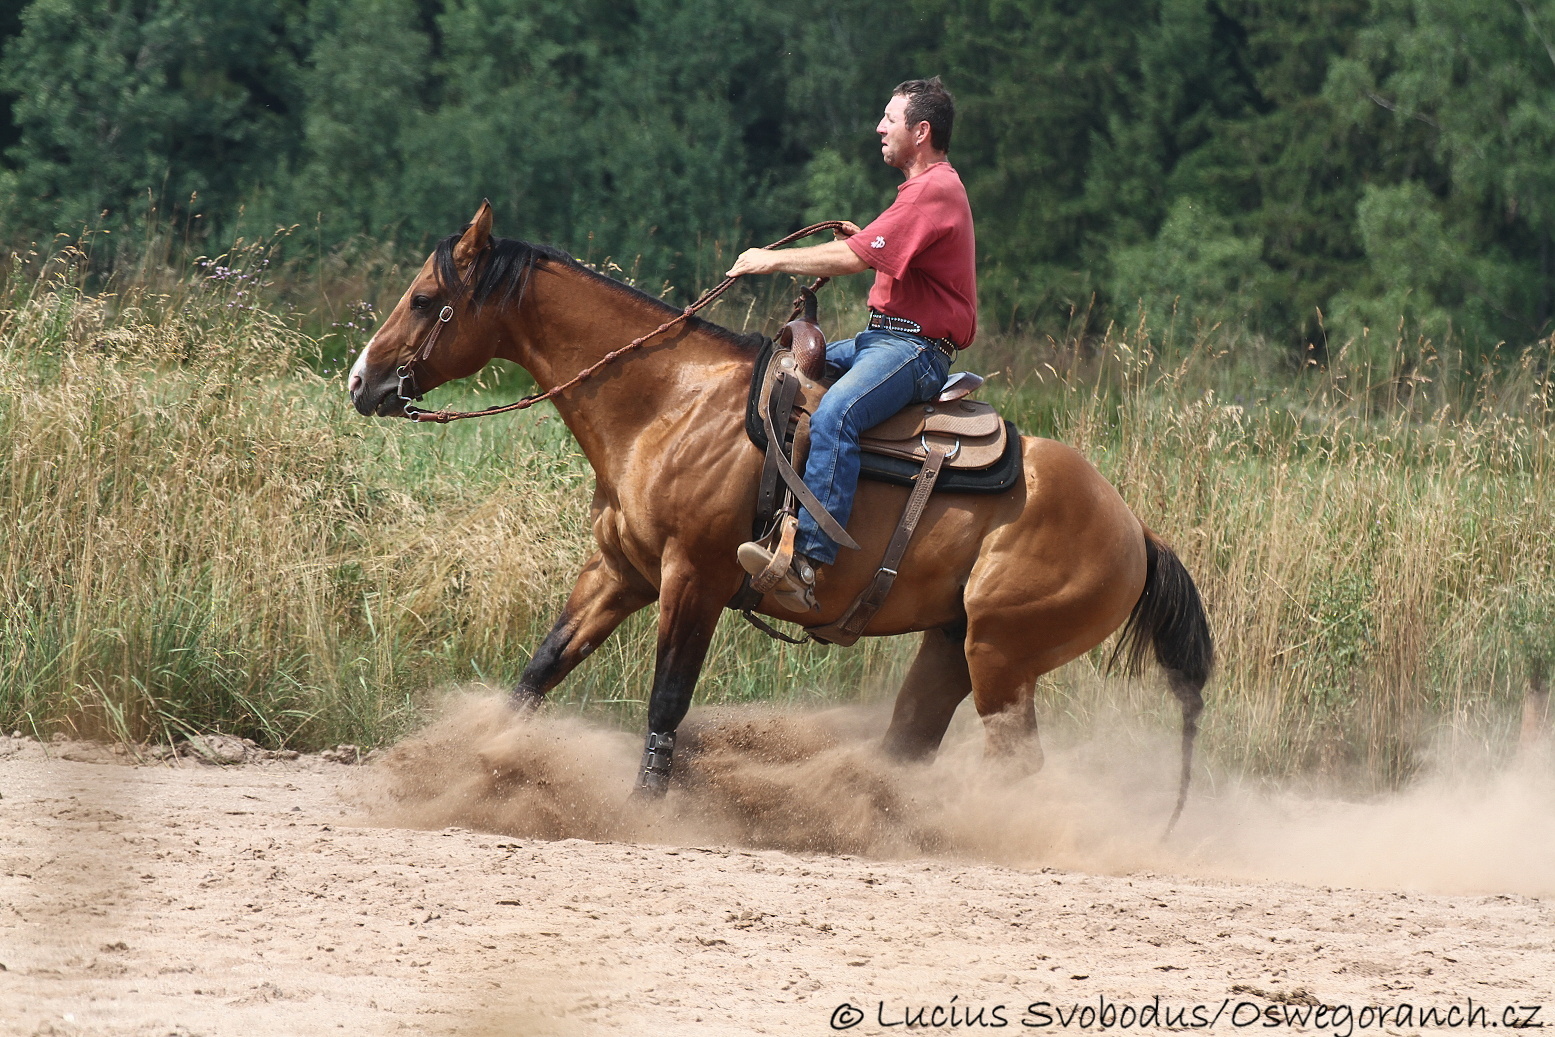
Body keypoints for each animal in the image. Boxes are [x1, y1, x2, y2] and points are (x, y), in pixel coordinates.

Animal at [352, 205, 1212, 827]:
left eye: (425, 299)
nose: (362, 382)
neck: (666, 405)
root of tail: (1135, 532)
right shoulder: (619, 571)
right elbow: (538, 672)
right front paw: (472, 762)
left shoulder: (693, 576)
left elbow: (668, 695)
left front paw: (645, 806)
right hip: (953, 643)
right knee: (912, 743)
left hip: (1002, 655)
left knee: (1014, 762)